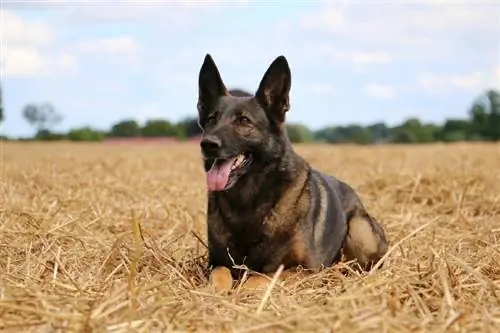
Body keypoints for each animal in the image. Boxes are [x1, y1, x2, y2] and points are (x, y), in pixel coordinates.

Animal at [196, 53, 390, 290]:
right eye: (211, 119)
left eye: (244, 121)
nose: (207, 144)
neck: (249, 199)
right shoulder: (216, 262)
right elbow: (220, 275)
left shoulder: (305, 268)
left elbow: (259, 277)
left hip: (360, 228)